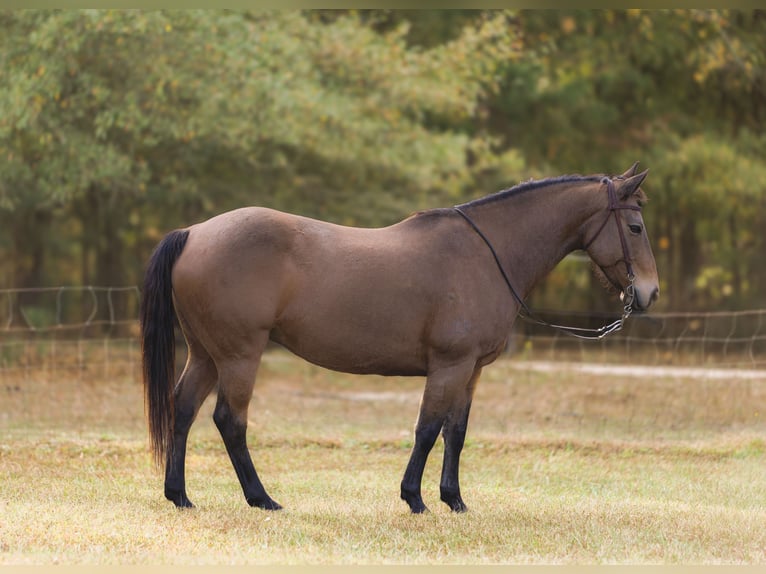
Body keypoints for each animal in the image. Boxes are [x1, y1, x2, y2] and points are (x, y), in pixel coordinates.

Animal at [140, 162, 659, 514]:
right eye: (635, 226)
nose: (649, 293)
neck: (485, 255)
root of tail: (194, 232)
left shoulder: (470, 372)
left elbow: (456, 433)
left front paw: (454, 500)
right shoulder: (449, 366)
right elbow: (427, 429)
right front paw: (415, 499)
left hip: (206, 355)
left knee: (182, 411)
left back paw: (179, 495)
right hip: (239, 355)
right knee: (230, 421)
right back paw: (261, 498)